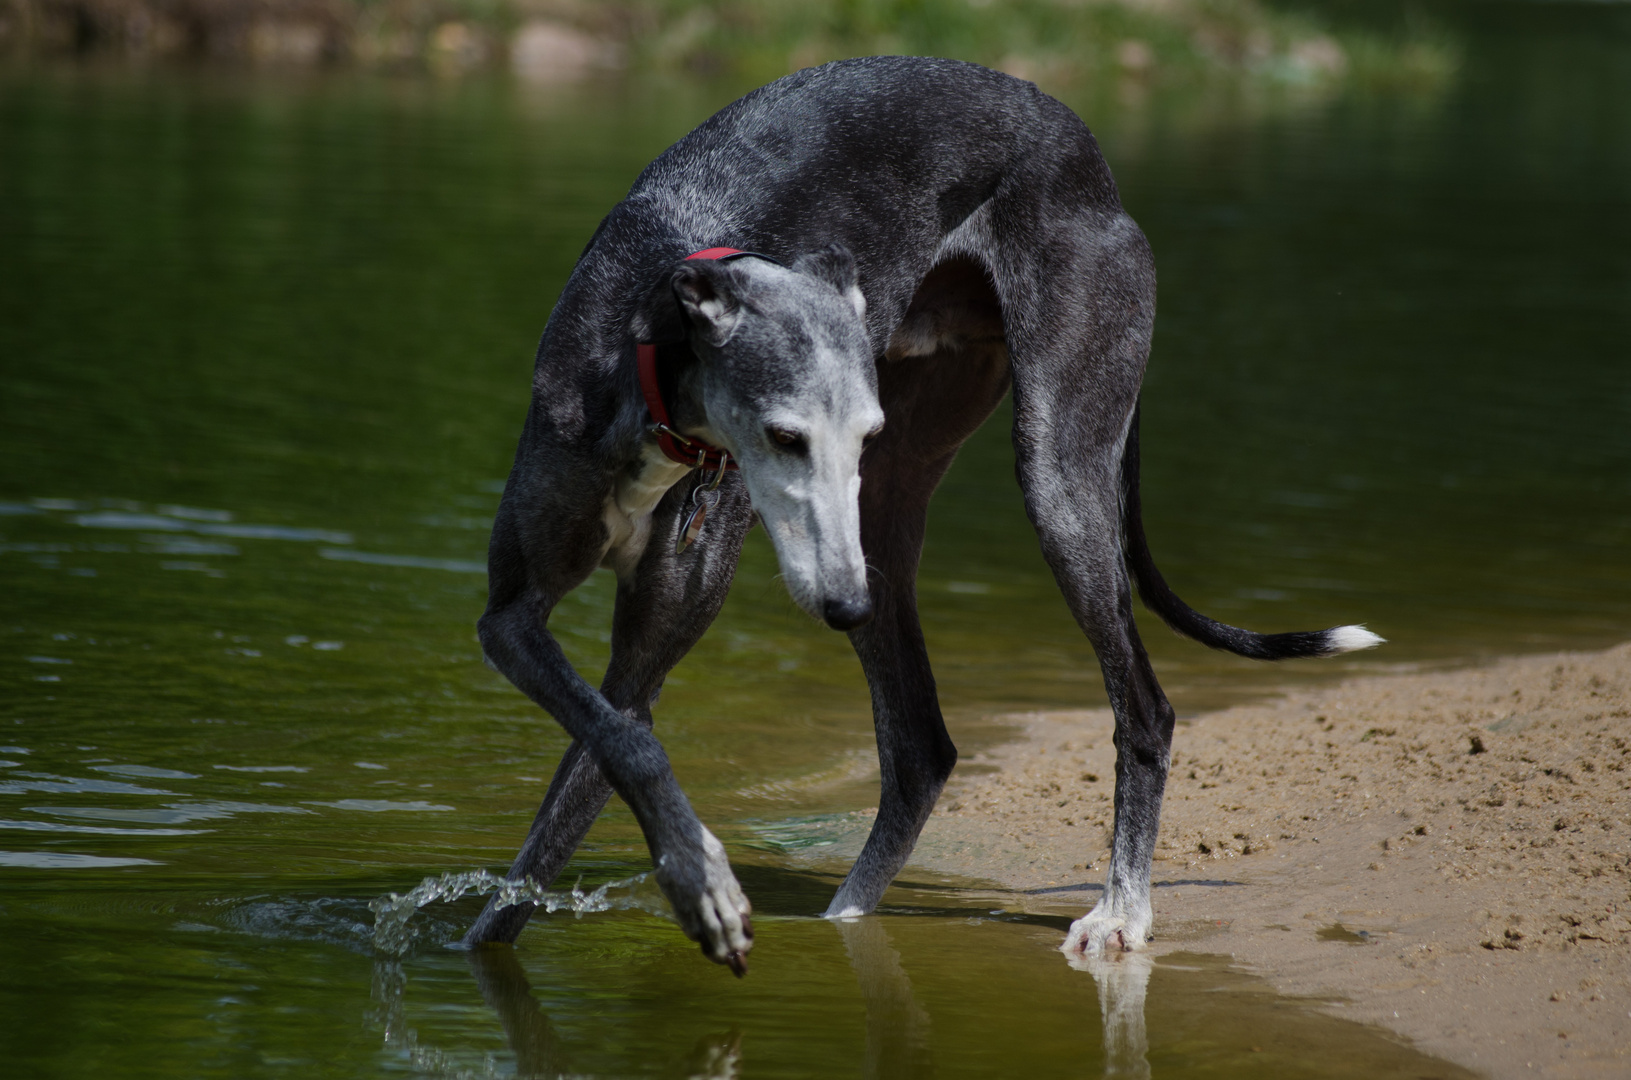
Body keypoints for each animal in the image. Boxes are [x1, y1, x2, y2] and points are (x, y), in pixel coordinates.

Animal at [466, 55, 1383, 978]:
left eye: (856, 434)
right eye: (784, 437)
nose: (843, 606)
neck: (656, 376)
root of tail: (1086, 149)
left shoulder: (644, 651)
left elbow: (620, 746)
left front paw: (707, 891)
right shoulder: (516, 620)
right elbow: (607, 766)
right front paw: (682, 889)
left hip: (1048, 475)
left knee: (1143, 708)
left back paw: (1121, 910)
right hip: (889, 506)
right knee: (919, 749)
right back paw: (846, 921)